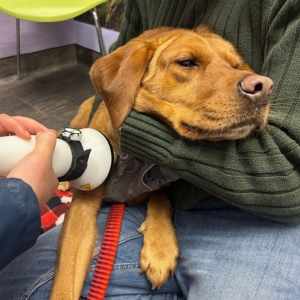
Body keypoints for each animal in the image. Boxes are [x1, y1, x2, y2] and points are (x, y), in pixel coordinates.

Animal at [48, 24, 274, 298]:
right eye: (186, 62)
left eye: (237, 65)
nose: (264, 87)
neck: (134, 161)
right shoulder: (81, 210)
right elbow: (65, 278)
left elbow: (161, 197)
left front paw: (160, 246)